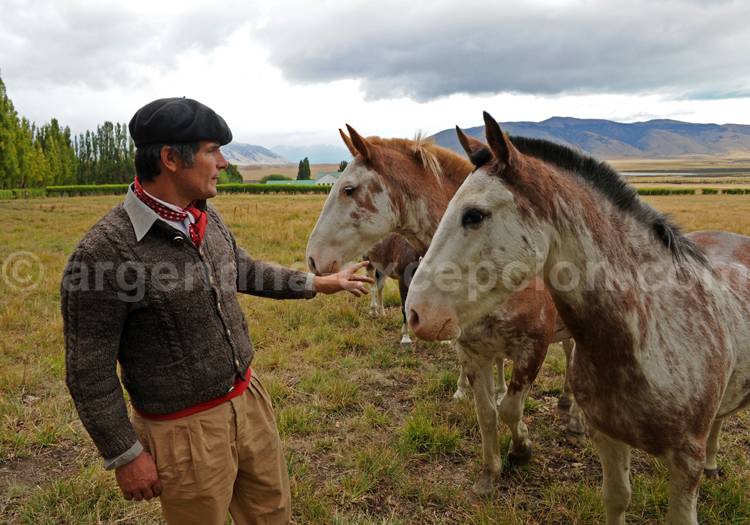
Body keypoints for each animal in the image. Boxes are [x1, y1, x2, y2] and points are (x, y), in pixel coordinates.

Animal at [305, 127, 582, 495]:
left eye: (349, 189)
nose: (312, 259)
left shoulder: (533, 348)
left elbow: (510, 409)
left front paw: (521, 449)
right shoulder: (474, 350)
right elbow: (488, 413)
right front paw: (490, 473)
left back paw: (576, 416)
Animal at [405, 111, 750, 524]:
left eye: (474, 215)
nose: (415, 313)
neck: (652, 333)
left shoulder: (685, 463)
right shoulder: (609, 439)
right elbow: (617, 498)